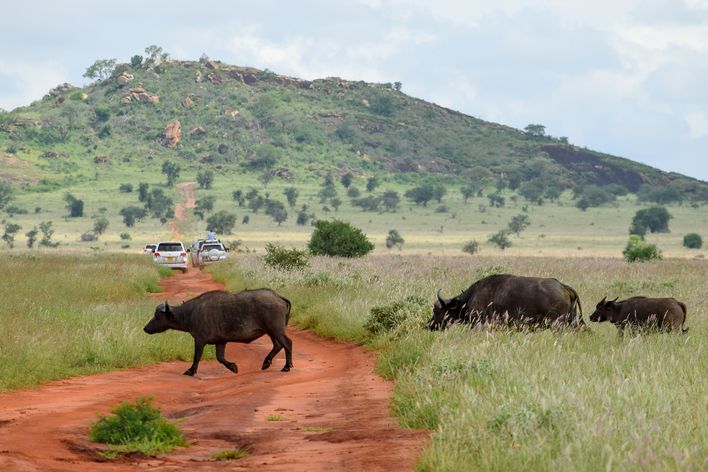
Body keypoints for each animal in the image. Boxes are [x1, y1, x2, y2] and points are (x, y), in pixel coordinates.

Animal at [144, 288, 294, 376]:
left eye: (157, 316)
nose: (145, 328)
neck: (190, 313)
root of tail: (277, 296)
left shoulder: (199, 340)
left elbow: (197, 357)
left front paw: (191, 371)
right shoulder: (220, 342)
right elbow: (220, 358)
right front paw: (233, 367)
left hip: (276, 329)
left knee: (287, 343)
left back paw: (287, 366)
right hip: (271, 331)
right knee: (277, 345)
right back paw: (266, 363)